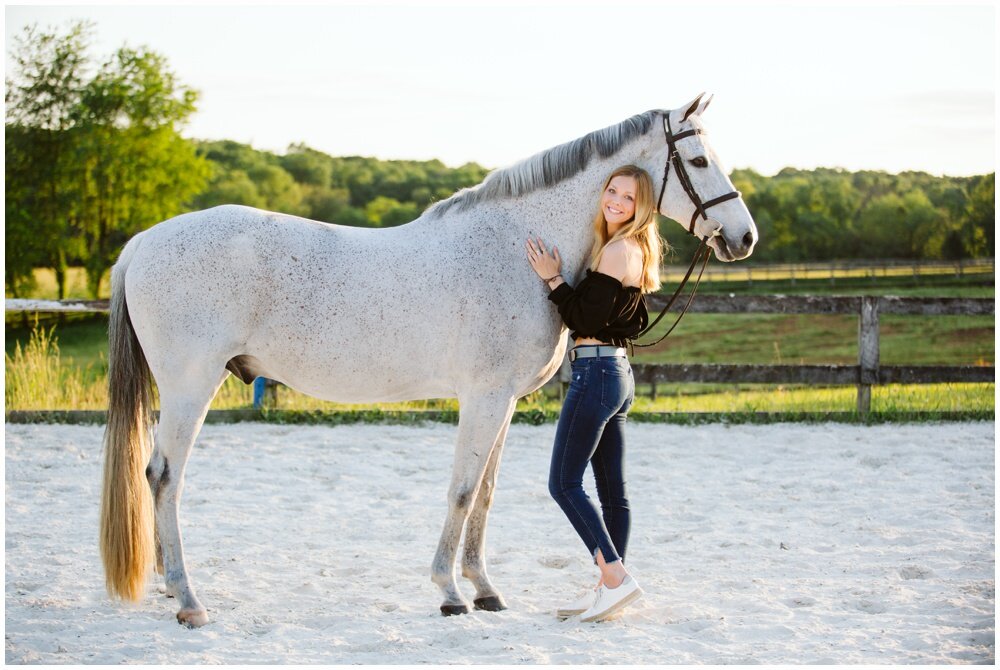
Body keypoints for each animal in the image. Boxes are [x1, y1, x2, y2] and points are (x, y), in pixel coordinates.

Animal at [103, 94, 756, 632]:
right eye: (699, 160)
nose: (744, 237)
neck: (515, 246)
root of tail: (143, 243)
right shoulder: (483, 397)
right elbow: (462, 492)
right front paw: (449, 593)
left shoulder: (504, 401)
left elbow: (486, 494)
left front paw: (485, 589)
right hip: (191, 386)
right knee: (164, 477)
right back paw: (190, 600)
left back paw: (170, 589)